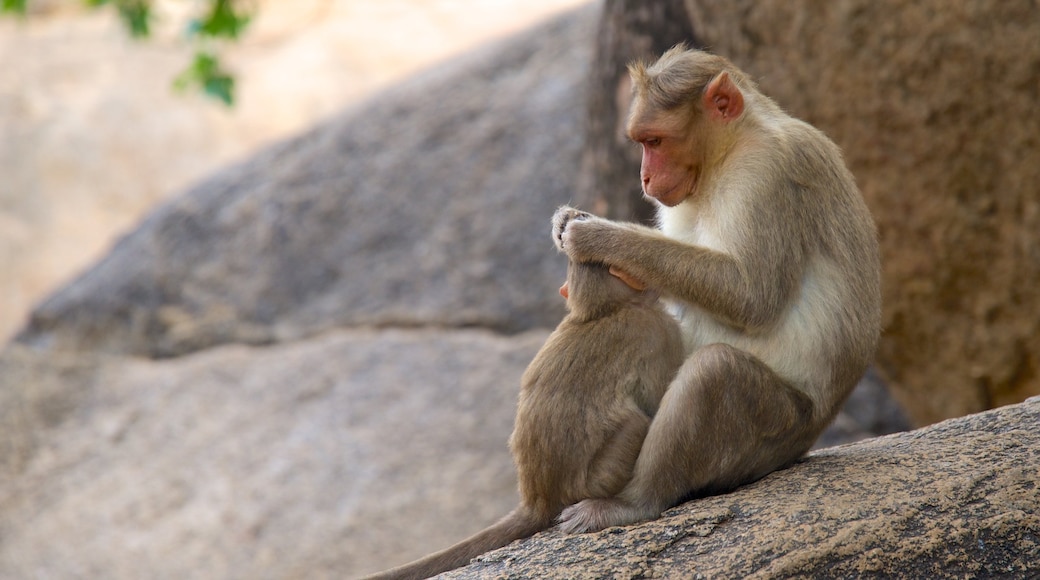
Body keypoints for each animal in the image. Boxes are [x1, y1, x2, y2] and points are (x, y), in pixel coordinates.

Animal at [361, 231, 686, 580]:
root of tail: (539, 497)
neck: (605, 310)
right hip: (602, 477)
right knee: (637, 424)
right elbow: (656, 397)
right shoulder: (659, 330)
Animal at [553, 46, 877, 536]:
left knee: (715, 372)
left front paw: (599, 236)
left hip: (775, 435)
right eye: (640, 142)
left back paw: (636, 502)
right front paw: (567, 223)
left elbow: (751, 295)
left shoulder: (766, 172)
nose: (644, 179)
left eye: (655, 141)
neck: (729, 153)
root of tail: (809, 438)